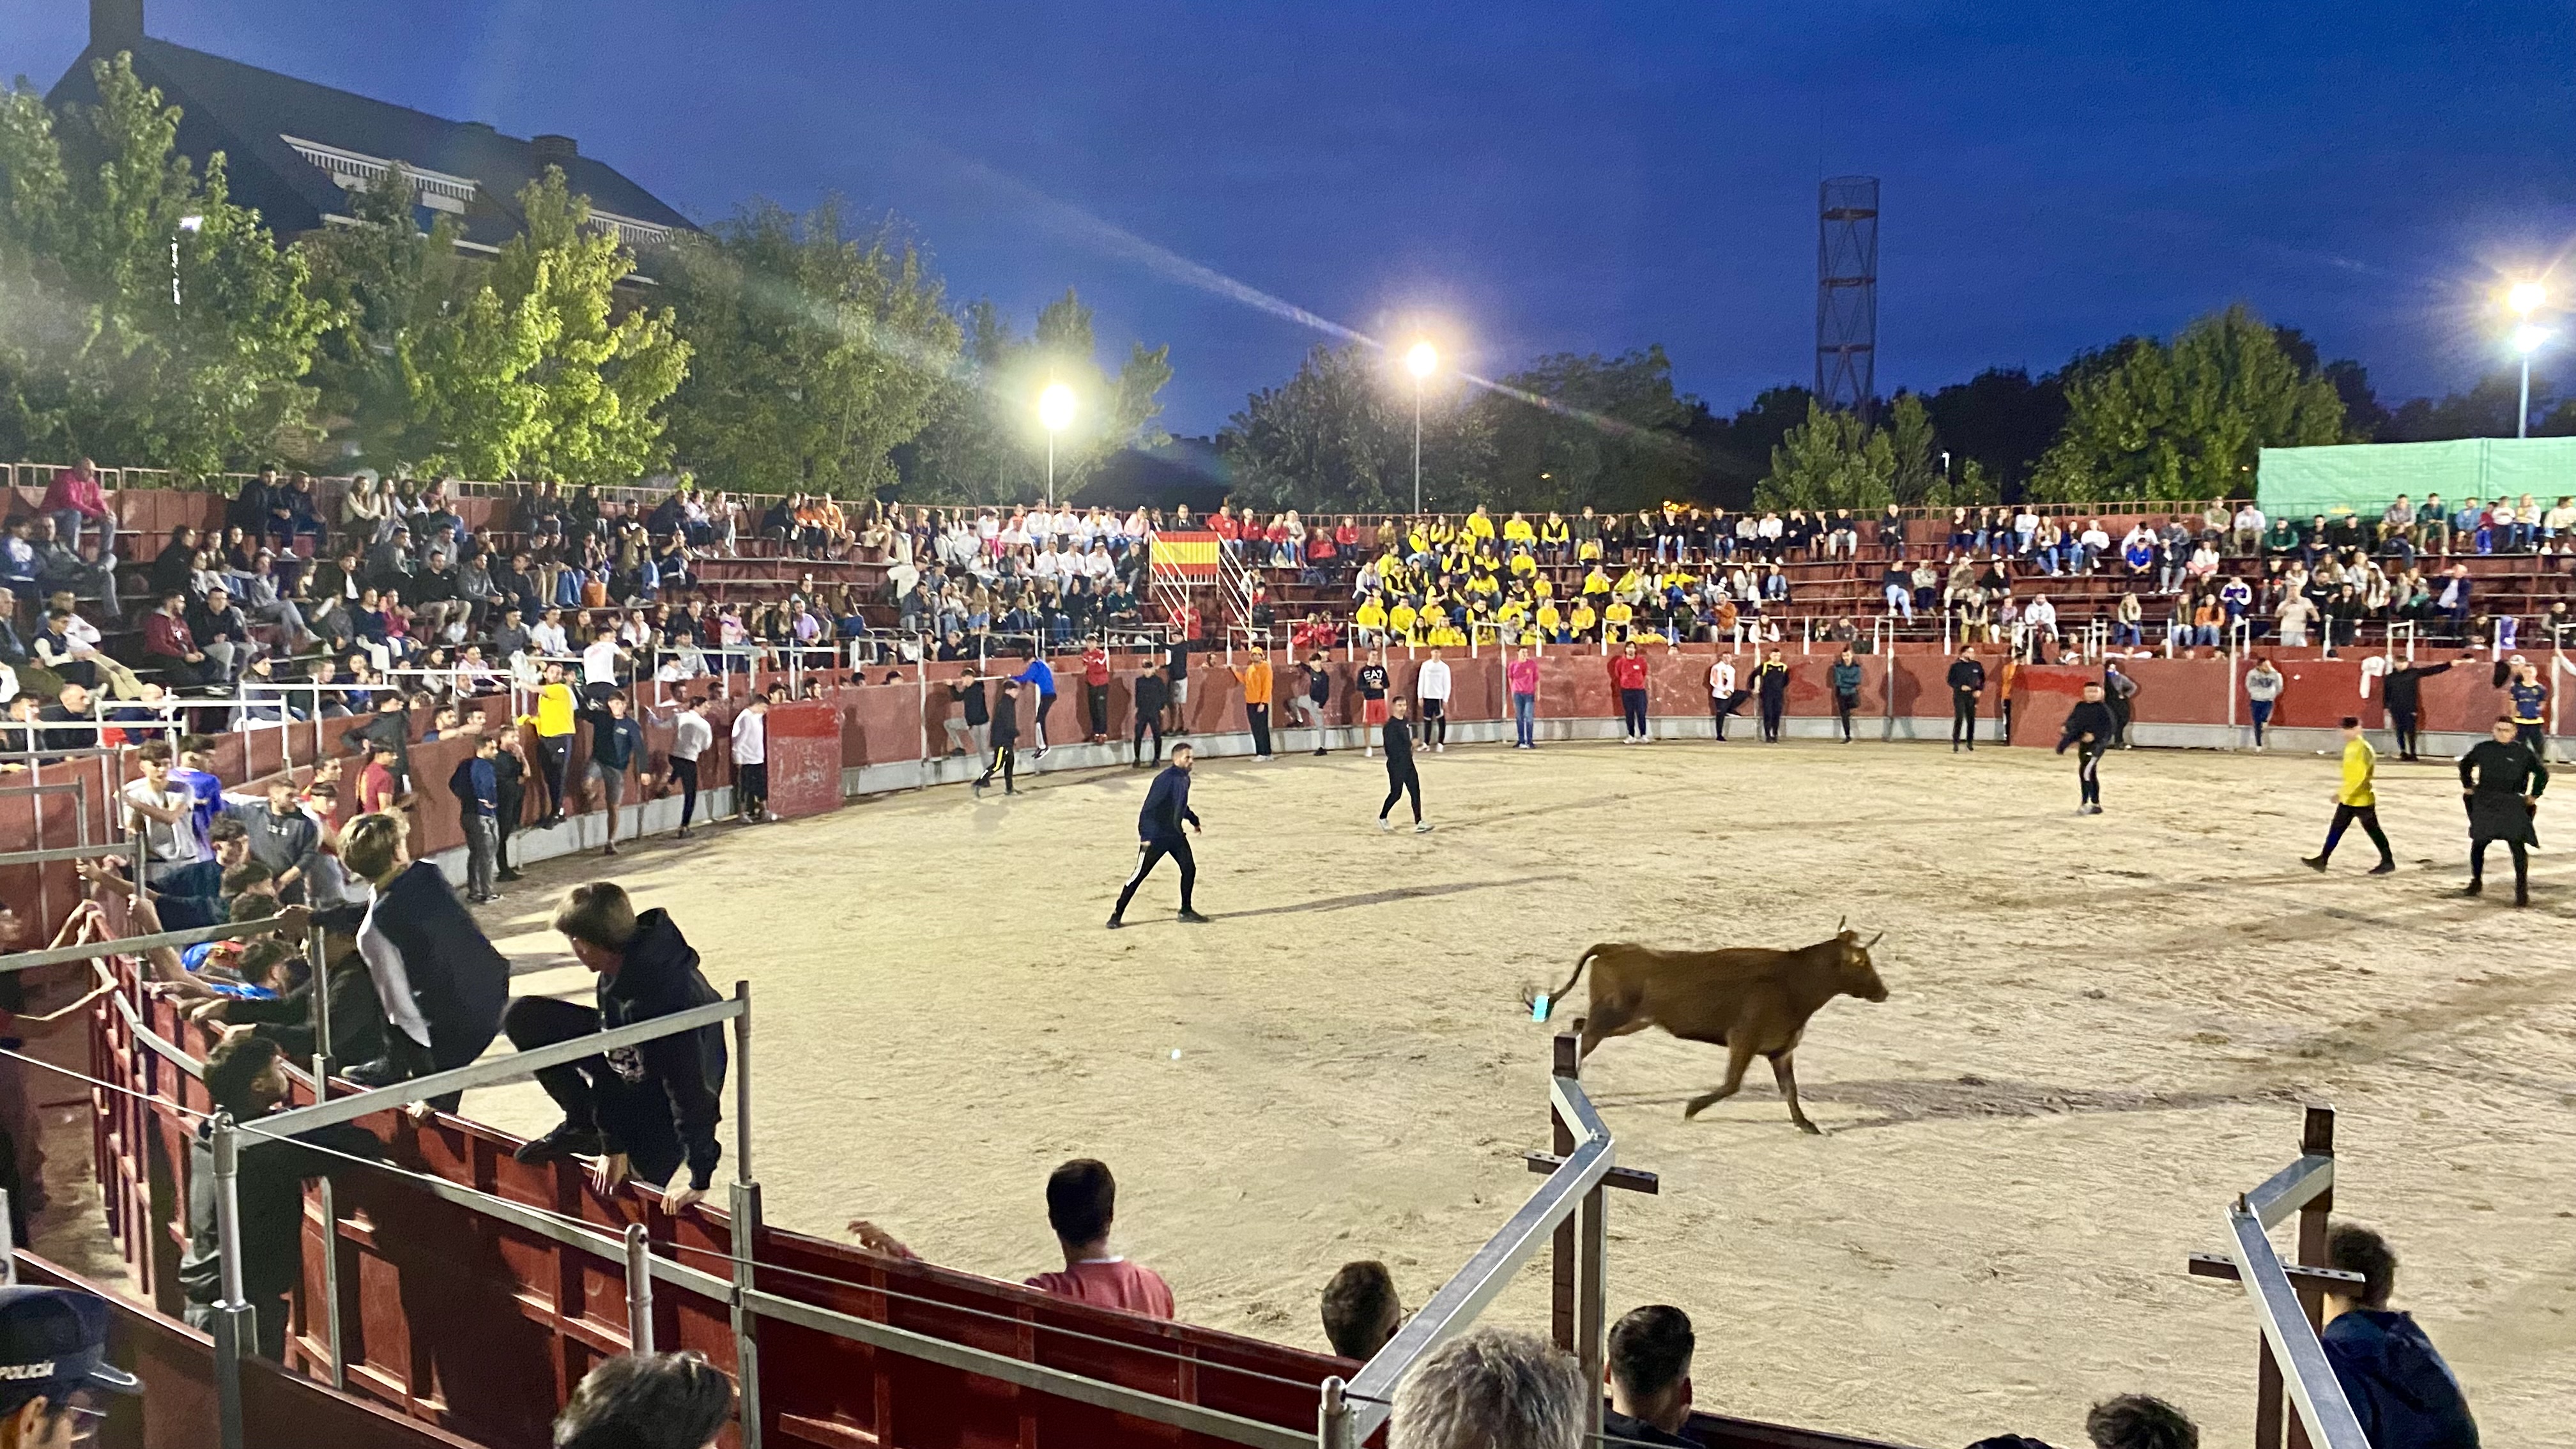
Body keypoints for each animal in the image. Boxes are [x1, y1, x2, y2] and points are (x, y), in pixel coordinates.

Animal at [1514, 923, 1885, 1129]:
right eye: (1863, 963)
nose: (1884, 992)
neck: (1795, 982)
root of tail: (1613, 948)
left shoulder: (1781, 1051)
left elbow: (1790, 1090)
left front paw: (1805, 1124)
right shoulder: (1744, 1040)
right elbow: (1732, 1084)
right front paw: (1691, 1108)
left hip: (1631, 1022)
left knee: (1578, 1027)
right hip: (1610, 1019)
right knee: (1584, 1037)